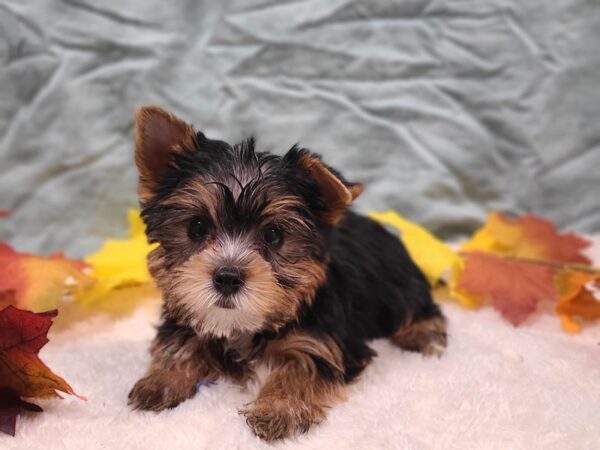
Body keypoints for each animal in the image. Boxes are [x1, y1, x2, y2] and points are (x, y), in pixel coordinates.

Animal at [129, 104, 448, 440]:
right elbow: (180, 342)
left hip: (395, 286)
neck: (242, 327)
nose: (227, 277)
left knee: (418, 309)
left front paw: (278, 408)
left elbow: (301, 365)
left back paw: (424, 336)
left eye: (273, 235)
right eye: (197, 227)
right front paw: (163, 380)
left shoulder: (320, 339)